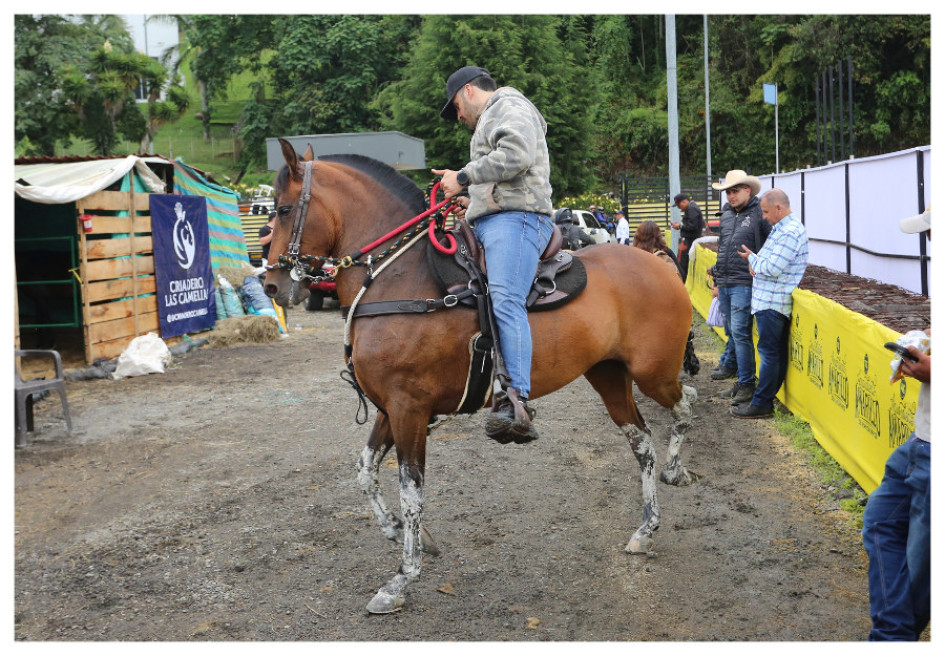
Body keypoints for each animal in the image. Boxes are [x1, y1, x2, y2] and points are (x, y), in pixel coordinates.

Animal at [264, 139, 699, 614]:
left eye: (283, 209)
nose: (271, 285)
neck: (399, 279)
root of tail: (660, 266)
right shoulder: (389, 408)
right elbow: (365, 471)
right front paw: (400, 533)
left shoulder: (409, 409)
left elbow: (411, 490)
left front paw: (402, 577)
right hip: (608, 376)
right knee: (642, 442)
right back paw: (646, 528)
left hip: (651, 372)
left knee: (685, 403)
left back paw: (676, 469)